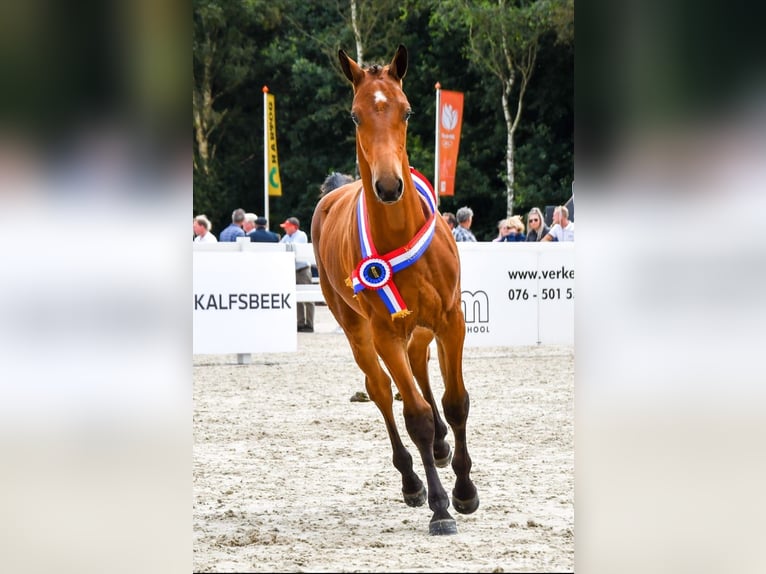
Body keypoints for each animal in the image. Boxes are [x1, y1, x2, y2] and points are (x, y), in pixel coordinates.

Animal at [312, 44, 480, 536]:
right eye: (355, 116)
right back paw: (412, 479)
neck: (399, 234)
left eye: (407, 111)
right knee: (385, 391)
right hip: (358, 331)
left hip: (421, 327)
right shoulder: (385, 331)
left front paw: (465, 490)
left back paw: (442, 448)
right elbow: (415, 415)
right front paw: (442, 506)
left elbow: (455, 402)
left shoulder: (452, 320)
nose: (388, 186)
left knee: (420, 369)